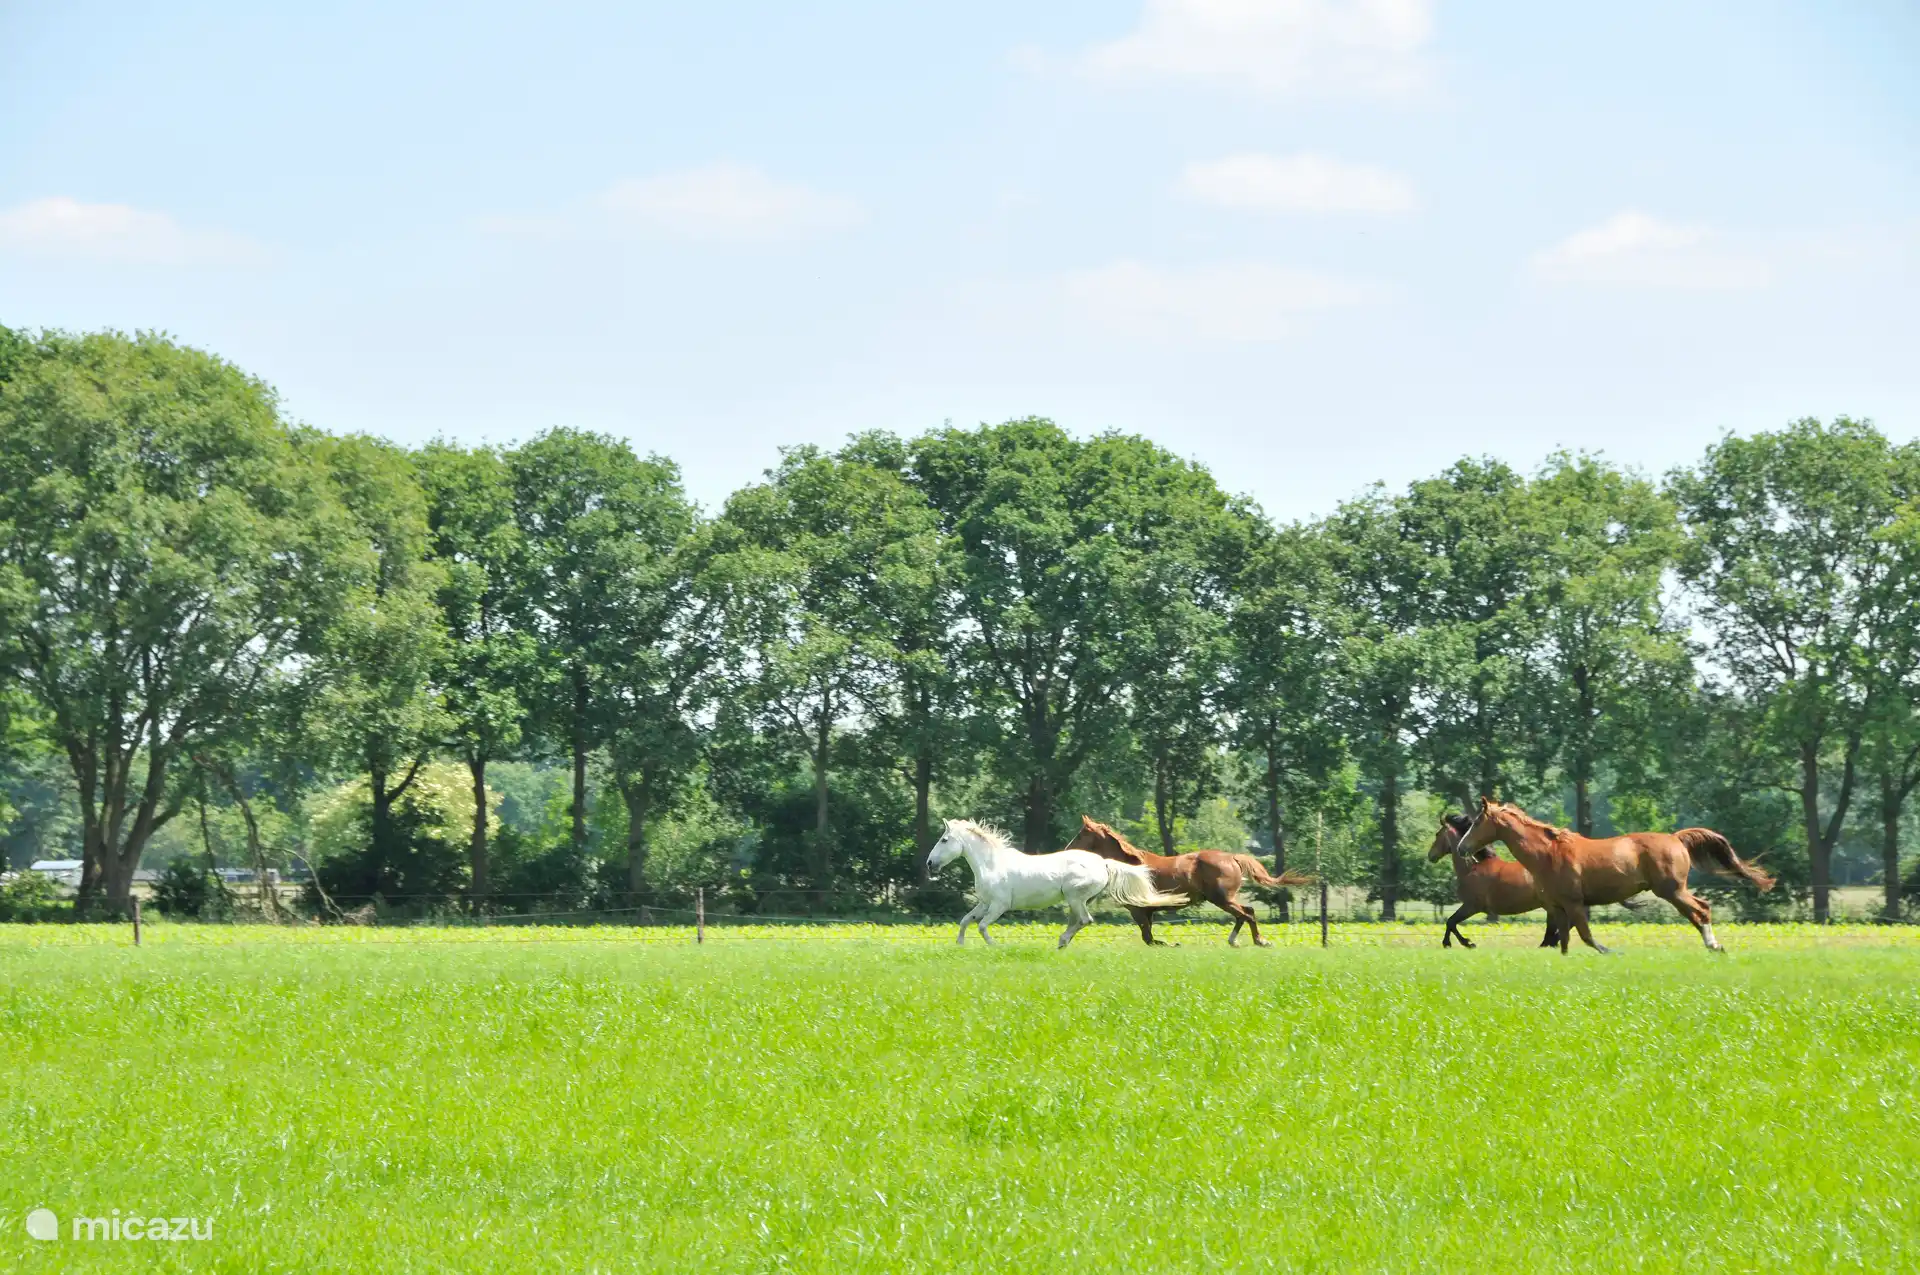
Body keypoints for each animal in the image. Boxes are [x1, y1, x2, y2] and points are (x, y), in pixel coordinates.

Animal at [925, 818, 1189, 948]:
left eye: (944, 839)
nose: (929, 863)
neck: (991, 864)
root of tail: (1103, 863)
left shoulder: (999, 905)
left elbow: (981, 927)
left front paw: (995, 946)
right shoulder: (984, 903)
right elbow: (965, 921)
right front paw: (959, 945)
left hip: (1075, 897)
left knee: (1085, 920)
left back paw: (1062, 941)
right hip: (1076, 900)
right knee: (1078, 921)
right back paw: (1063, 942)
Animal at [1065, 816, 1313, 948]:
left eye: (1081, 835)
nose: (1067, 849)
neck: (1128, 867)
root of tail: (1232, 857)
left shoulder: (1137, 909)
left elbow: (1148, 938)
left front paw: (1172, 944)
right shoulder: (1147, 911)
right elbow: (1149, 937)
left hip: (1221, 898)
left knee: (1246, 914)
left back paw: (1258, 941)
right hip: (1225, 899)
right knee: (1246, 912)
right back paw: (1238, 940)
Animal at [1427, 813, 1559, 950]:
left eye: (1437, 834)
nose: (1431, 855)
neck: (1473, 867)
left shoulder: (1471, 906)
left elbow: (1451, 922)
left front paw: (1461, 943)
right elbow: (1451, 922)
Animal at [1458, 797, 1775, 954]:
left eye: (1476, 822)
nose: (1462, 848)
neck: (1548, 853)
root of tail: (1676, 838)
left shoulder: (1574, 903)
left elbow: (1586, 936)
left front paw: (1610, 952)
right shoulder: (1558, 906)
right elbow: (1564, 942)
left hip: (1671, 890)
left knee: (1701, 910)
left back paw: (1714, 945)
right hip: (1673, 891)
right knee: (1699, 911)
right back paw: (1713, 946)